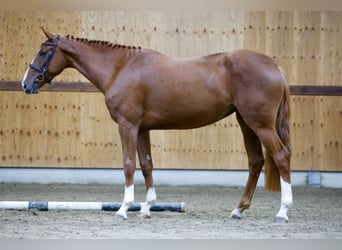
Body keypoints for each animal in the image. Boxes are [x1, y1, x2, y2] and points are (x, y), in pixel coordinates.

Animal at [21, 28, 292, 222]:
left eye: (43, 52)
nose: (26, 83)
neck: (120, 68)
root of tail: (274, 66)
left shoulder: (127, 125)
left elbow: (128, 165)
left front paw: (123, 208)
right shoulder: (142, 129)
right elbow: (146, 165)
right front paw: (147, 207)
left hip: (260, 125)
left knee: (281, 156)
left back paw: (282, 212)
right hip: (246, 123)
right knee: (255, 161)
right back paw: (238, 210)